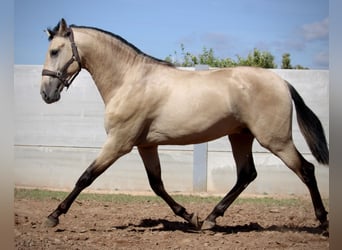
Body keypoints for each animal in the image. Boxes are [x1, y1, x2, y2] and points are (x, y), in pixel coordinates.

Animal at [40, 18, 328, 230]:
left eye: (55, 51)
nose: (46, 93)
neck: (131, 81)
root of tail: (282, 82)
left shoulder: (118, 143)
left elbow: (86, 177)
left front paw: (53, 216)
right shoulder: (146, 146)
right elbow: (157, 184)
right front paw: (190, 216)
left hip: (275, 140)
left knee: (306, 170)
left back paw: (323, 221)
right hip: (240, 136)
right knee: (246, 174)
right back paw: (210, 219)